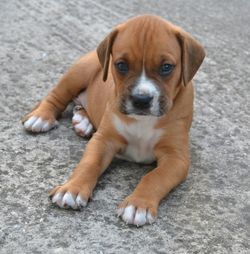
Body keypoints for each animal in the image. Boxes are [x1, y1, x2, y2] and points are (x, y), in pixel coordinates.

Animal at [22, 14, 205, 226]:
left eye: (166, 67)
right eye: (121, 65)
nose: (141, 100)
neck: (142, 120)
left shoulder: (176, 158)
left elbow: (154, 177)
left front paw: (138, 205)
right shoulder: (104, 140)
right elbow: (88, 164)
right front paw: (72, 189)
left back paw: (82, 121)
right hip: (79, 72)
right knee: (56, 96)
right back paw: (41, 117)